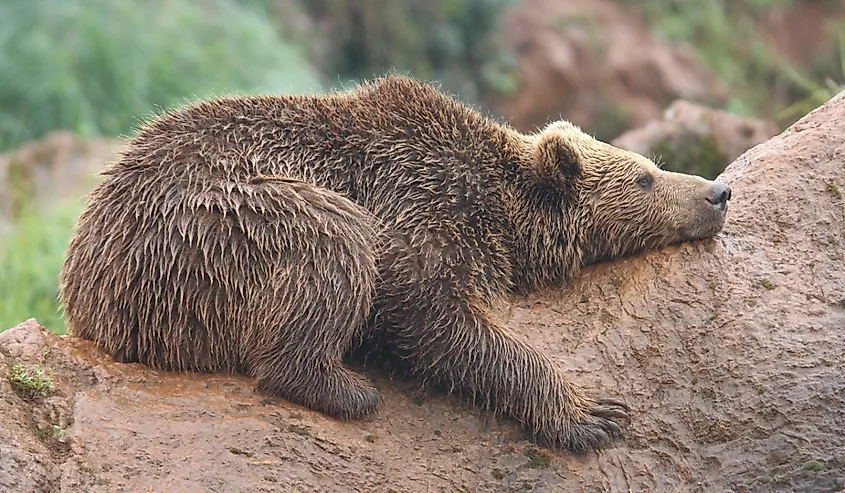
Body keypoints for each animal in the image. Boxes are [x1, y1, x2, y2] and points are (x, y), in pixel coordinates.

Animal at [59, 75, 731, 454]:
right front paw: (590, 414)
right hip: (213, 222)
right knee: (329, 239)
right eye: (645, 176)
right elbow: (433, 317)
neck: (498, 207)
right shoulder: (418, 202)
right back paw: (341, 387)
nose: (718, 192)